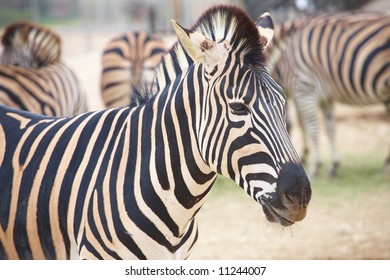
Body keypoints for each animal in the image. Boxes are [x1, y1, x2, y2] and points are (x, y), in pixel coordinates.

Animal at [266, 12, 390, 177]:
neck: (283, 55)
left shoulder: (305, 90)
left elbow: (310, 127)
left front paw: (314, 167)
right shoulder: (325, 98)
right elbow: (330, 128)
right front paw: (333, 165)